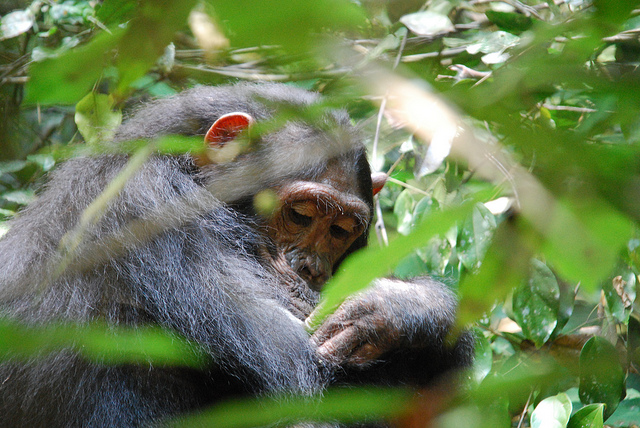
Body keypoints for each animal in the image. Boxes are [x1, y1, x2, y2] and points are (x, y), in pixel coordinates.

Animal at [0, 82, 472, 426]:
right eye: (300, 214)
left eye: (340, 231)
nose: (311, 269)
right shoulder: (147, 209)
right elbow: (291, 360)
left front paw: (396, 305)